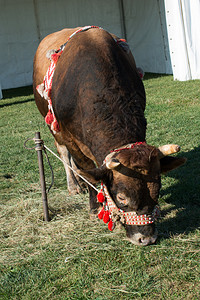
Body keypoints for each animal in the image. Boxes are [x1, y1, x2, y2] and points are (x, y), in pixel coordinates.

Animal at [33, 27, 186, 245]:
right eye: (121, 197)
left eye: (157, 190)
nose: (146, 238)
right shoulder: (69, 136)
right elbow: (84, 168)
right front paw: (93, 206)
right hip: (53, 127)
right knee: (64, 155)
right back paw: (74, 185)